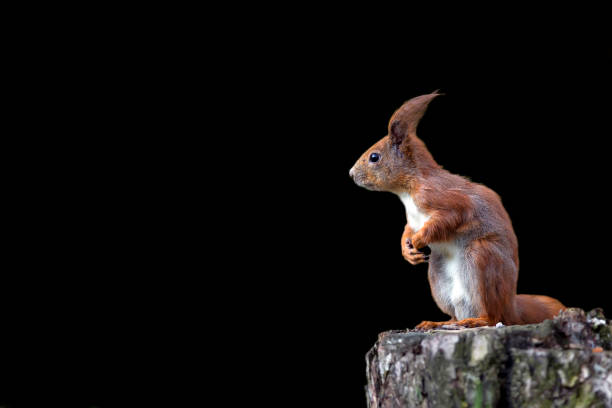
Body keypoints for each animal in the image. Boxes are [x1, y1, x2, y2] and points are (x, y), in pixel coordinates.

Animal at [350, 91, 564, 330]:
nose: (351, 174)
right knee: (455, 315)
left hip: (481, 257)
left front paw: (418, 240)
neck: (407, 191)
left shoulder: (445, 199)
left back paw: (477, 320)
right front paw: (407, 250)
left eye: (374, 157)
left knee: (493, 317)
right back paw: (437, 322)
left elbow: (448, 219)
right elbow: (407, 229)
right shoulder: (412, 219)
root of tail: (511, 306)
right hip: (438, 274)